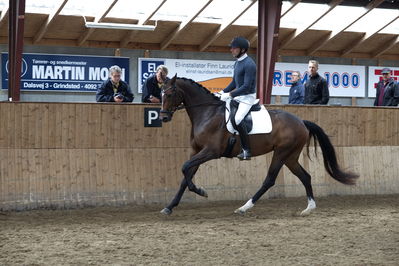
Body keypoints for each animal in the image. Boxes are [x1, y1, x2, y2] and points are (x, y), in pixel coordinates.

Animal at [159, 75, 360, 216]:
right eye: (160, 94)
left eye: (169, 94)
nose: (163, 117)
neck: (208, 113)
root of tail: (301, 122)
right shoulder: (197, 151)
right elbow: (186, 174)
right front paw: (169, 207)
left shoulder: (211, 151)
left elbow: (185, 168)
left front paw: (201, 191)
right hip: (290, 156)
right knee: (305, 176)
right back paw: (309, 208)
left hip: (281, 153)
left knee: (269, 180)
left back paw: (244, 207)